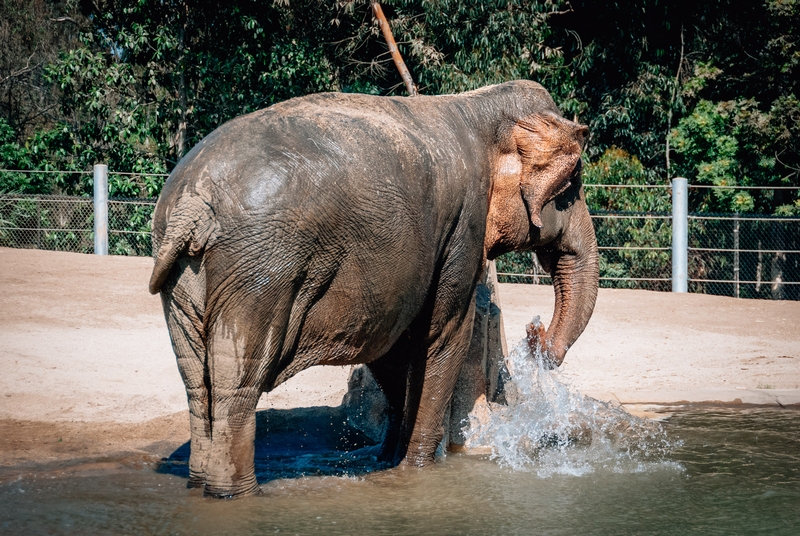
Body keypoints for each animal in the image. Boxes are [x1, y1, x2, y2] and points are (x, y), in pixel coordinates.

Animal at [150, 80, 596, 498]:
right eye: (571, 185)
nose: (536, 336)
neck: (476, 105)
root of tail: (193, 201)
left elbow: (391, 345)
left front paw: (388, 460)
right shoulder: (462, 224)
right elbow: (443, 333)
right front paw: (417, 469)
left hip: (183, 277)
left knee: (197, 381)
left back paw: (198, 484)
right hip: (261, 270)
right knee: (239, 381)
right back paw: (236, 495)